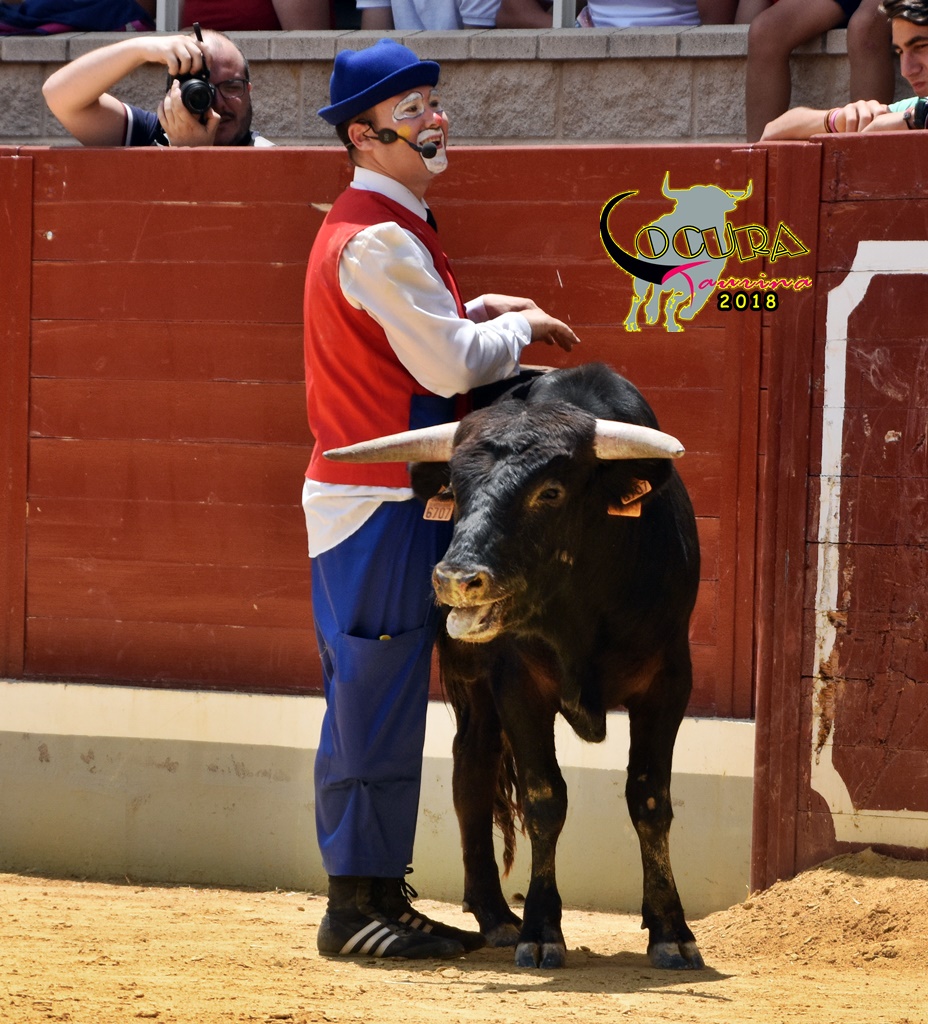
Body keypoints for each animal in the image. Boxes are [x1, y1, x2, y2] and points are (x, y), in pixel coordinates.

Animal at [324, 362, 703, 971]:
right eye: (455, 490)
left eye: (549, 491)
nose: (456, 579)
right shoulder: (518, 685)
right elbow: (544, 798)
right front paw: (542, 929)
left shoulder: (668, 683)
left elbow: (650, 800)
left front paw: (670, 928)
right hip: (473, 683)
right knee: (472, 769)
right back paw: (497, 915)